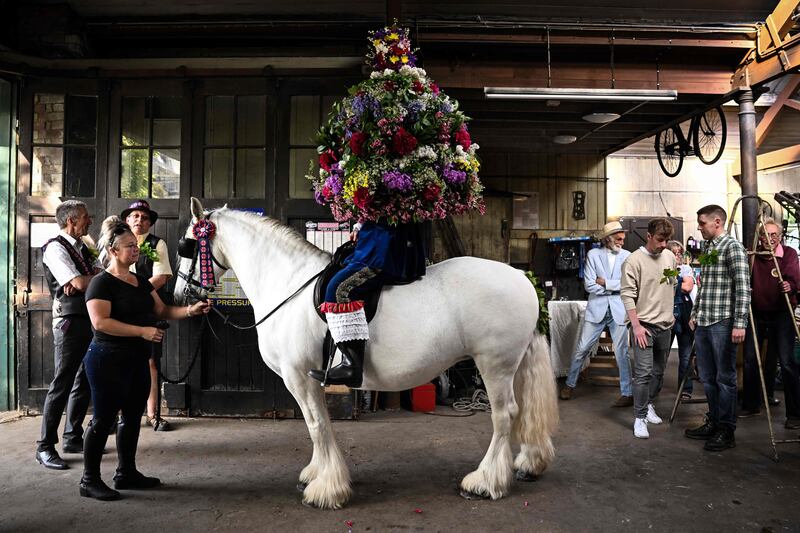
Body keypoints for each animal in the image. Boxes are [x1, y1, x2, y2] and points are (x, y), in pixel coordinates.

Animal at [172, 197, 560, 510]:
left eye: (188, 245)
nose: (180, 295)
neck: (288, 283)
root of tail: (522, 279)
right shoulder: (308, 379)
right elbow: (320, 424)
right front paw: (318, 474)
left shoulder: (298, 377)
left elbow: (316, 424)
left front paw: (327, 489)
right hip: (513, 365)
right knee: (523, 411)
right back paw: (527, 465)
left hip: (494, 364)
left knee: (504, 416)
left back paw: (485, 482)